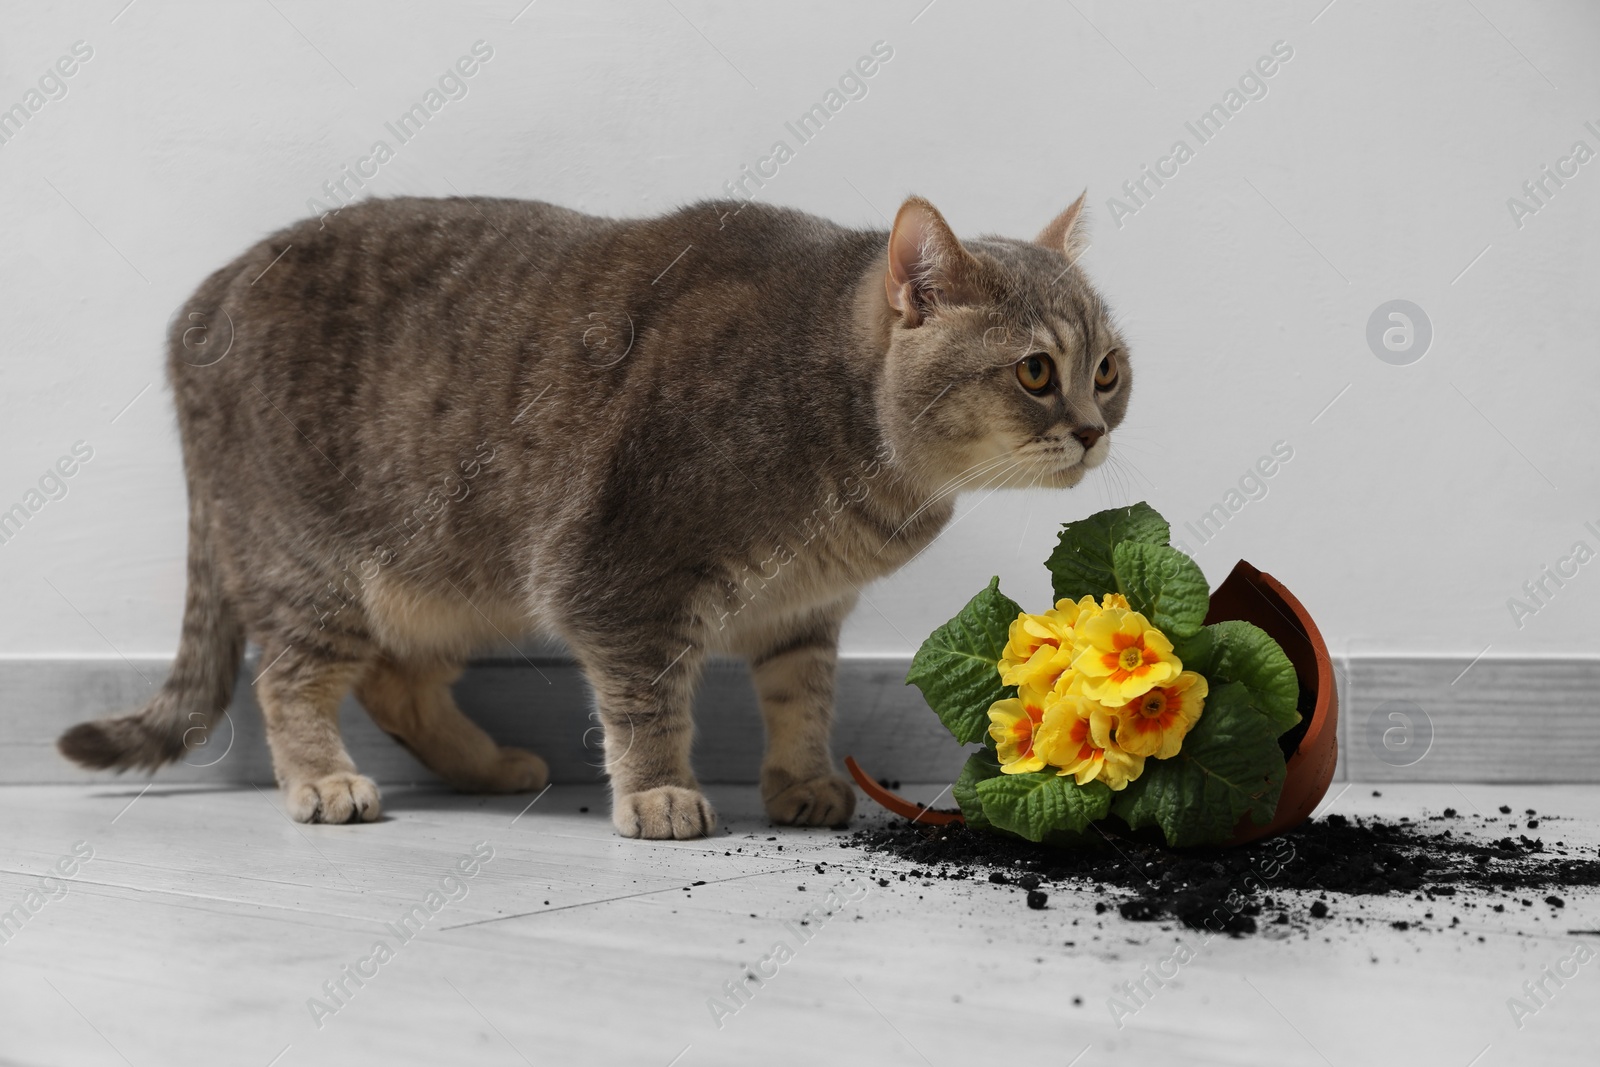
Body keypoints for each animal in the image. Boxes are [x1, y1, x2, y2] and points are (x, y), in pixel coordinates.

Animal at [56, 194, 1132, 844]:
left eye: (1110, 368)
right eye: (1037, 371)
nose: (1090, 428)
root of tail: (197, 308)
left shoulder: (801, 614)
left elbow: (803, 700)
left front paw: (800, 779)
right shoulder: (617, 579)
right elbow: (648, 703)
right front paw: (657, 790)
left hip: (447, 584)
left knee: (398, 684)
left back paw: (487, 763)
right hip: (316, 569)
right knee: (289, 682)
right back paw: (323, 780)